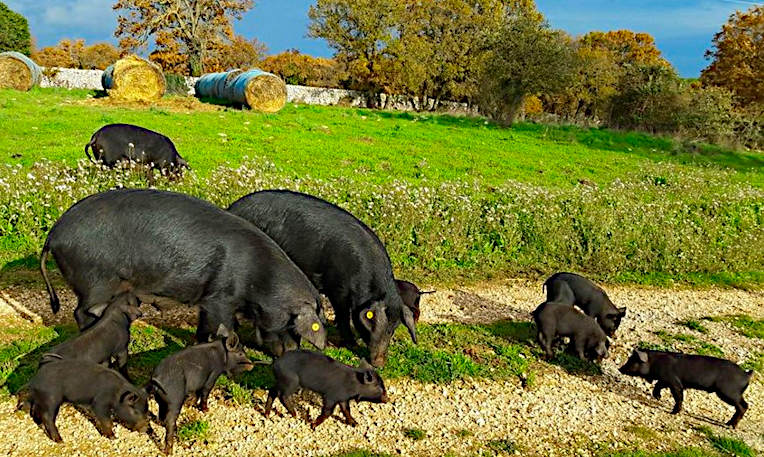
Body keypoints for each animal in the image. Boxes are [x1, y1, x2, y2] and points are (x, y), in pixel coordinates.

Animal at [17, 360, 148, 442]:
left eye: (146, 411)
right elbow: (106, 421)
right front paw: (113, 438)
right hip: (51, 399)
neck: (116, 393)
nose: (145, 429)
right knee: (47, 417)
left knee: (34, 411)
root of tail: (34, 380)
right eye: (135, 411)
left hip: (40, 399)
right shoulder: (99, 403)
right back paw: (60, 441)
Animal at [39, 187, 326, 348]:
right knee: (82, 311)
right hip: (94, 279)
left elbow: (206, 325)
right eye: (290, 325)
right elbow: (223, 325)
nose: (292, 352)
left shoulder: (209, 302)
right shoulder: (220, 298)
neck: (259, 279)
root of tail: (54, 235)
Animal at [149, 324, 254, 452]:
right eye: (240, 354)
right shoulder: (213, 375)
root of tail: (156, 379)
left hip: (161, 400)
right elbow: (205, 391)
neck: (222, 357)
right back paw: (169, 451)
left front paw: (191, 403)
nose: (252, 364)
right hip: (174, 400)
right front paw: (206, 410)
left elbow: (196, 393)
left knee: (161, 414)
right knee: (170, 421)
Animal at [227, 189, 418, 366]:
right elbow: (343, 315)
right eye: (379, 325)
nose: (379, 363)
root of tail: (232, 208)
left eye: (393, 329)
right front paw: (350, 344)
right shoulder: (338, 290)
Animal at [620, 350, 752, 428]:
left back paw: (730, 425)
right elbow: (658, 385)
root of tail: (747, 375)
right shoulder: (666, 380)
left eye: (632, 360)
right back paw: (728, 423)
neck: (655, 362)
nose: (620, 369)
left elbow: (678, 396)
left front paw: (673, 412)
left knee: (744, 406)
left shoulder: (675, 383)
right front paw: (658, 397)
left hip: (728, 392)